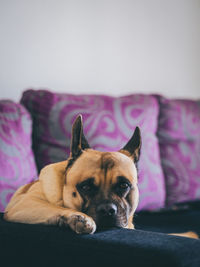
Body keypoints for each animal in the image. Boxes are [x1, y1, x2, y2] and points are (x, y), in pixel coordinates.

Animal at [2, 114, 198, 239]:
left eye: (124, 186)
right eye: (85, 187)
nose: (107, 210)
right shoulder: (24, 203)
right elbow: (53, 208)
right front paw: (78, 218)